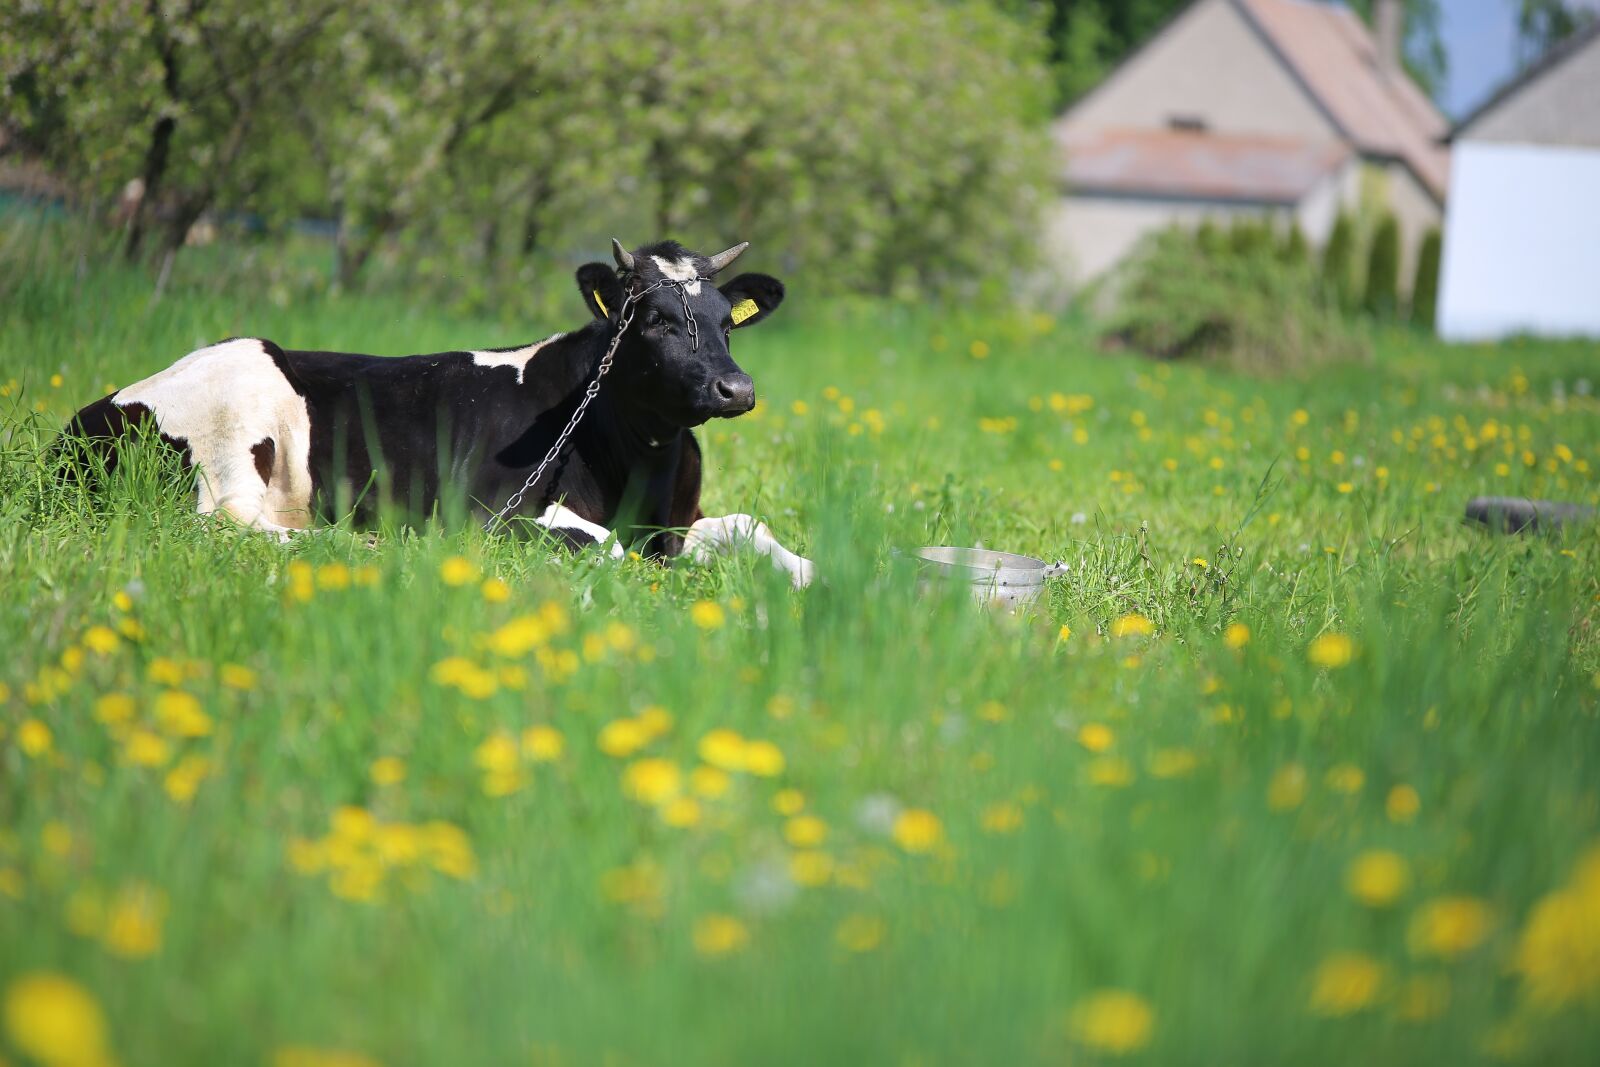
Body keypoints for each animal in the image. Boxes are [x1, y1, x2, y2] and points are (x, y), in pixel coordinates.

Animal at [59, 239, 814, 586]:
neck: (639, 462)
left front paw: (816, 571)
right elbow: (606, 547)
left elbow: (746, 526)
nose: (736, 389)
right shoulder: (493, 517)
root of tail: (77, 424)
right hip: (236, 408)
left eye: (726, 320)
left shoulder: (677, 522)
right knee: (226, 527)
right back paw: (360, 544)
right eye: (654, 318)